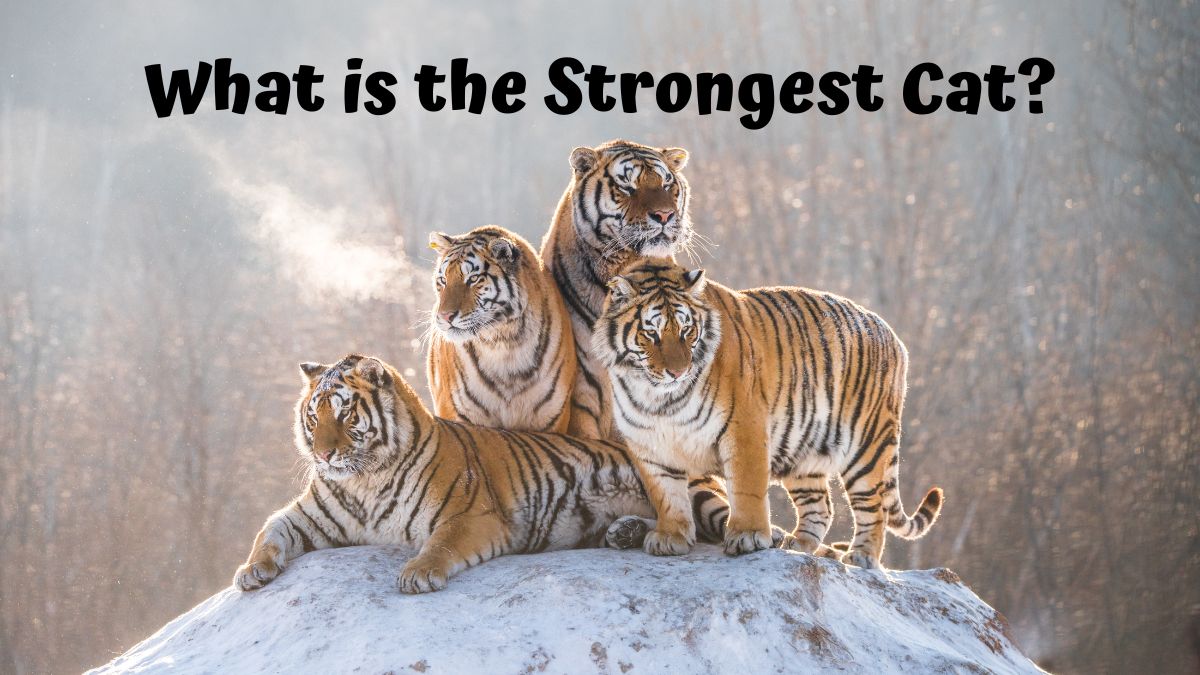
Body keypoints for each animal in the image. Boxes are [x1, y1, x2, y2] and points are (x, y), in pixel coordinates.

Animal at [230, 353, 768, 593]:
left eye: (344, 414)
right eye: (313, 416)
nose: (323, 455)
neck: (364, 479)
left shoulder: (469, 515)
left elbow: (440, 545)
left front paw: (417, 573)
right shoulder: (309, 515)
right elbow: (268, 530)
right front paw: (252, 570)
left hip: (693, 490)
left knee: (711, 527)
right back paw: (624, 532)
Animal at [592, 258, 945, 566]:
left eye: (686, 331)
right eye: (650, 333)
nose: (678, 372)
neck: (657, 399)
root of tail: (891, 333)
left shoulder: (742, 426)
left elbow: (745, 487)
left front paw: (748, 537)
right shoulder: (648, 444)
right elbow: (666, 494)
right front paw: (671, 537)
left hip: (866, 445)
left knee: (873, 507)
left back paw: (861, 555)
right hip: (803, 452)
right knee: (821, 506)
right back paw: (796, 544)